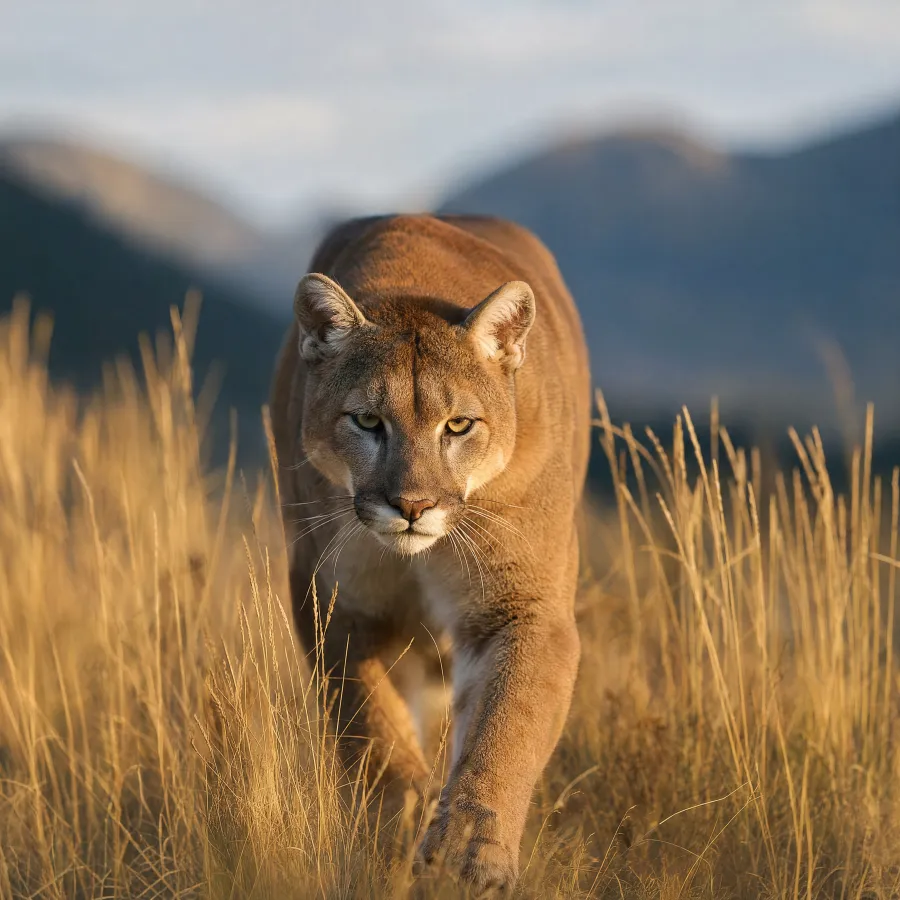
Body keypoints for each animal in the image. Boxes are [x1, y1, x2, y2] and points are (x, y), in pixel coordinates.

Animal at [270, 214, 591, 892]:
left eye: (459, 425)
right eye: (367, 421)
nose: (411, 506)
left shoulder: (522, 607)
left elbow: (507, 724)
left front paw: (469, 850)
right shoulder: (336, 600)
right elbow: (370, 726)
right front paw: (398, 820)